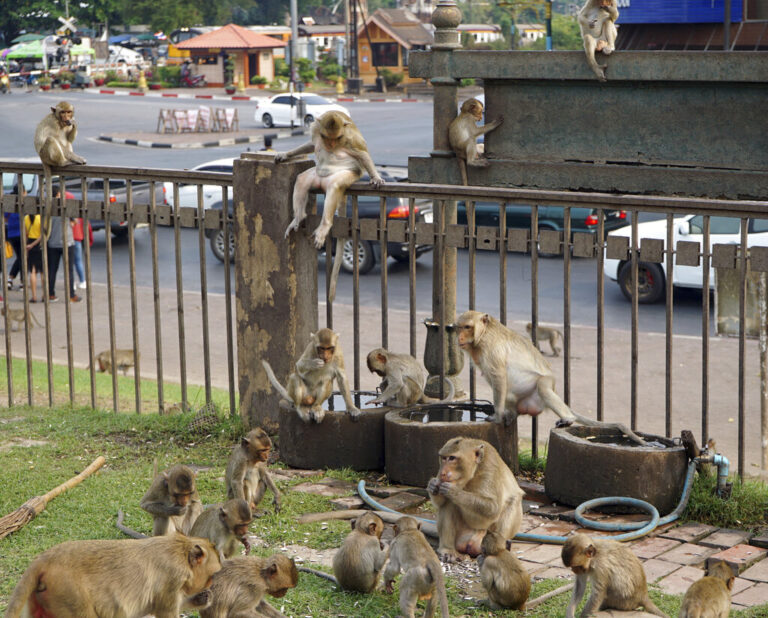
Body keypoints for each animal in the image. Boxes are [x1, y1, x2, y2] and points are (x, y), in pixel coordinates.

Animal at [5, 528, 222, 616]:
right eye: (212, 576)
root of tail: (45, 558)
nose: (211, 587)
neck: (179, 550)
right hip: (69, 593)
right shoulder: (171, 581)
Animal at [276, 111, 384, 304]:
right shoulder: (315, 131)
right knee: (302, 179)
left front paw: (376, 177)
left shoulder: (350, 139)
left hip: (345, 175)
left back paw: (324, 226)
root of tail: (322, 182)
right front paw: (286, 155)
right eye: (327, 138)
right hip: (316, 177)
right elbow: (311, 145)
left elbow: (363, 154)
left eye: (338, 138)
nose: (332, 145)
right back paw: (298, 217)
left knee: (334, 186)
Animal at [456, 310, 648, 446]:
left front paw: (497, 416)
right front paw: (502, 414)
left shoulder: (491, 348)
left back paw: (568, 418)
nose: (459, 337)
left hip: (545, 386)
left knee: (542, 386)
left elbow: (499, 376)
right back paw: (512, 414)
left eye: (467, 327)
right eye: (459, 327)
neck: (483, 334)